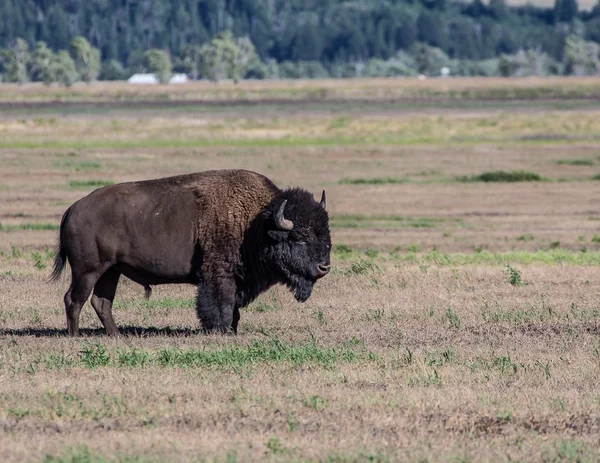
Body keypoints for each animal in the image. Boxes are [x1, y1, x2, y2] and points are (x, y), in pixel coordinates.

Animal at [50, 169, 332, 336]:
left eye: (325, 233)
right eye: (300, 238)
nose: (324, 267)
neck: (257, 222)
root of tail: (73, 208)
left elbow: (235, 307)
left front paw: (232, 329)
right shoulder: (219, 275)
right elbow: (222, 304)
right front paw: (221, 330)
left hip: (111, 271)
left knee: (101, 301)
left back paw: (117, 335)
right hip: (88, 270)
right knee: (74, 299)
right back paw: (75, 336)